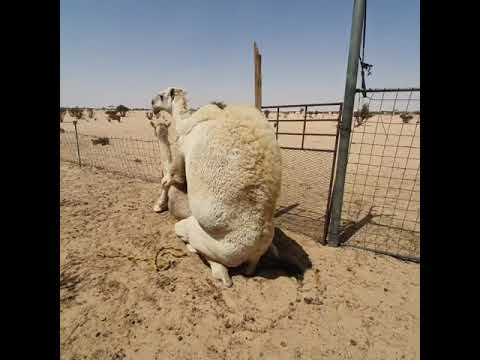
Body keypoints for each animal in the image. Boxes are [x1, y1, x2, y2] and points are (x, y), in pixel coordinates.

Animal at [152, 87, 284, 286]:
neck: (186, 122)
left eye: (162, 95)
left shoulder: (182, 149)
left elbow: (169, 179)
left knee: (210, 257)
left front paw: (158, 206)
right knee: (252, 267)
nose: (152, 103)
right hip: (256, 250)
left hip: (213, 242)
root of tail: (255, 249)